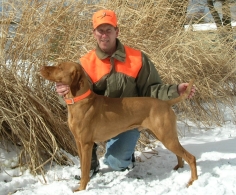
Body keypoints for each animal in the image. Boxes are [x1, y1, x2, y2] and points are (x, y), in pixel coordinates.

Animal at [40, 61, 197, 191]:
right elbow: (84, 167)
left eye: (60, 67)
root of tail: (165, 103)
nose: (41, 68)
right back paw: (178, 168)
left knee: (191, 157)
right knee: (180, 155)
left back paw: (192, 181)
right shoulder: (79, 143)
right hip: (167, 136)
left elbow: (84, 171)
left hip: (167, 137)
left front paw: (81, 188)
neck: (79, 101)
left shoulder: (86, 144)